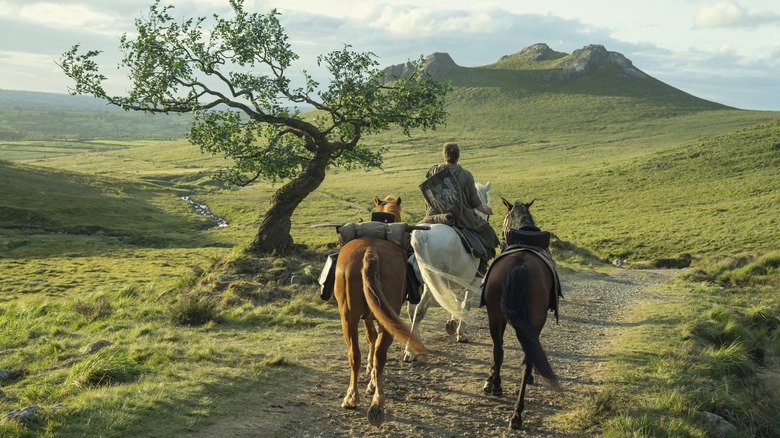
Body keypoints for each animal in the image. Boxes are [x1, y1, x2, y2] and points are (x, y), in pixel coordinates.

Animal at [333, 195, 427, 426]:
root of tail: (371, 251)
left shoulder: (365, 316)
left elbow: (369, 338)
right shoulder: (373, 316)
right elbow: (373, 339)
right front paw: (372, 380)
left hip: (348, 317)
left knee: (354, 354)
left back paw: (352, 397)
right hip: (386, 318)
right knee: (380, 354)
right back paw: (377, 400)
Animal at [403, 182, 492, 363]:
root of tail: (421, 235)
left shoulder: (456, 283)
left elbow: (455, 302)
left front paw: (452, 323)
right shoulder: (474, 282)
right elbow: (465, 304)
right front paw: (461, 333)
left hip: (419, 284)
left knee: (412, 310)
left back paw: (416, 341)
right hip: (432, 285)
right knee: (420, 310)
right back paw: (410, 351)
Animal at [482, 197, 561, 429]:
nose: (501, 237)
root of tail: (520, 265)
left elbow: (498, 351)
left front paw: (491, 381)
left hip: (495, 316)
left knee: (499, 351)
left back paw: (499, 389)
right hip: (530, 321)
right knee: (526, 360)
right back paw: (517, 412)